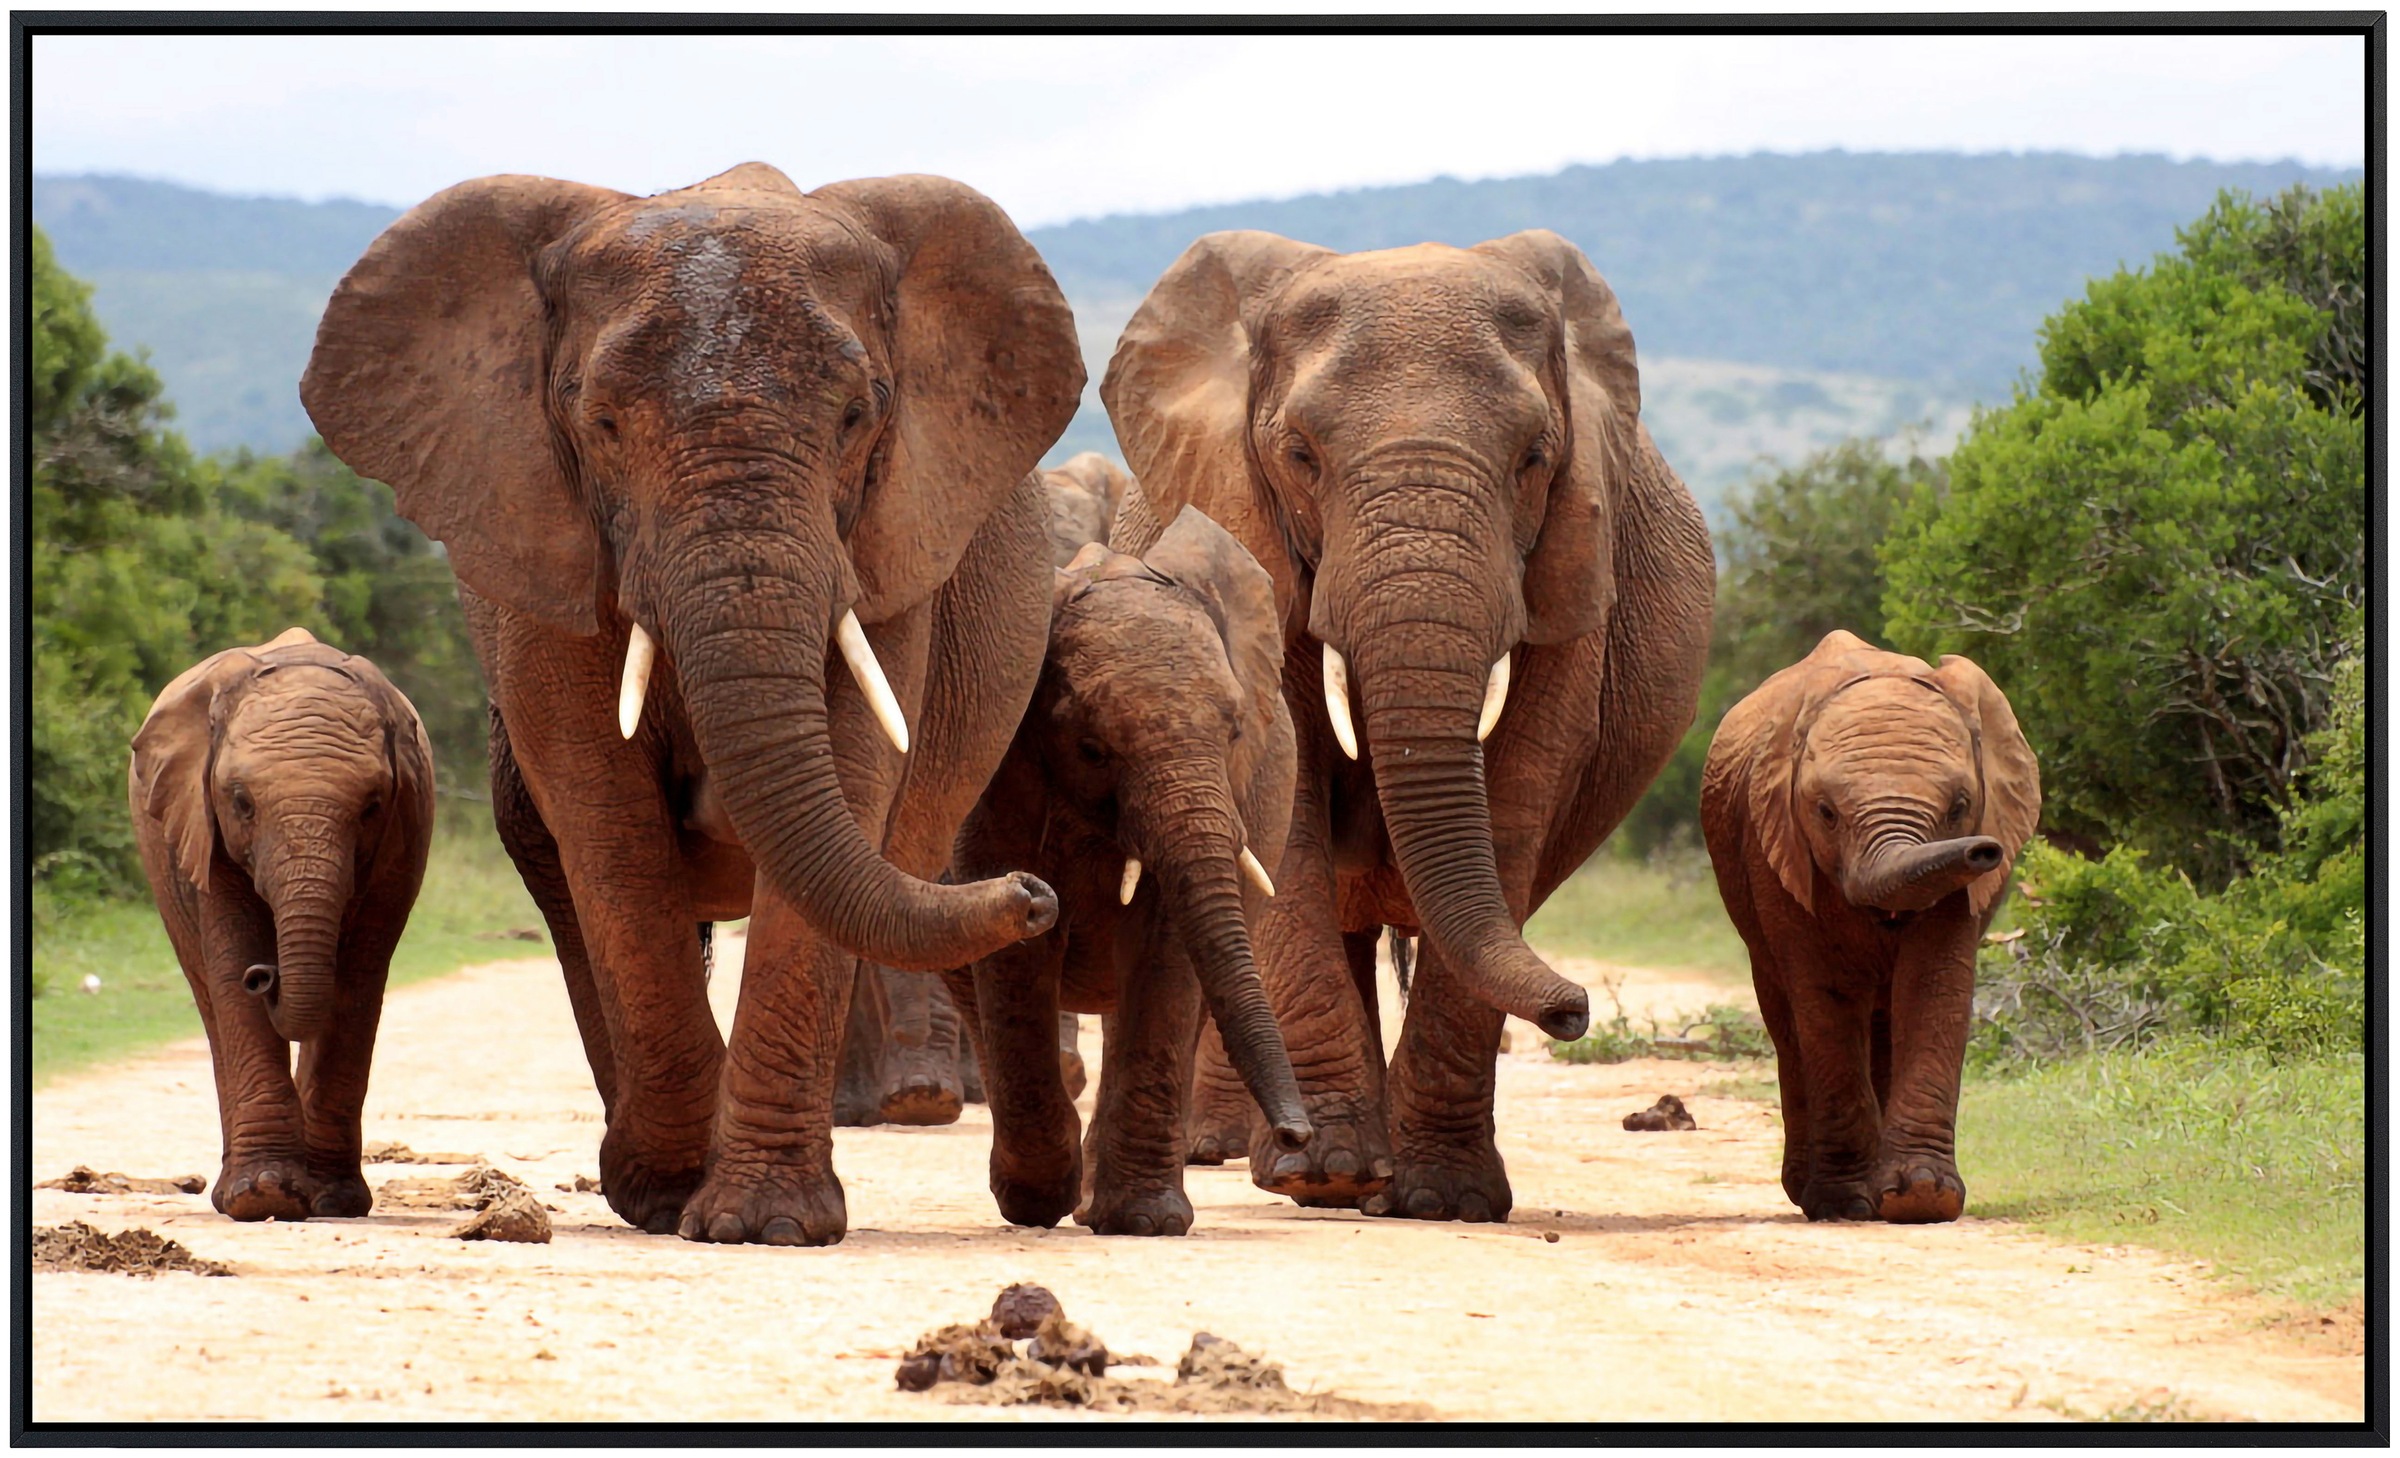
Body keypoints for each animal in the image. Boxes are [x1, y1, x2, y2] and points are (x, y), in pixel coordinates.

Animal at [126, 628, 439, 1218]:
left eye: (372, 806)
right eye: (241, 802)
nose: (265, 975)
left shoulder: (403, 833)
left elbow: (359, 978)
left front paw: (334, 1200)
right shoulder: (201, 823)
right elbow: (230, 960)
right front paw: (264, 1193)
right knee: (209, 995)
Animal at [304, 165, 1084, 1246]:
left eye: (858, 417)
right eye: (600, 424)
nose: (1035, 894)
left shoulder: (887, 548)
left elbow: (850, 781)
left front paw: (764, 1223)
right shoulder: (545, 546)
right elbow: (606, 819)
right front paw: (676, 1196)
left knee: (913, 879)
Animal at [940, 505, 1315, 1237]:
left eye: (1234, 732)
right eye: (1092, 748)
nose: (1298, 1136)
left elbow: (1166, 951)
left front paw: (1143, 1220)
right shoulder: (999, 779)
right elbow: (1018, 948)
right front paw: (1039, 1202)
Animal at [1104, 225, 1728, 1218]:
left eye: (1534, 458)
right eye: (1301, 456)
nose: (1576, 1010)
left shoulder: (1569, 575)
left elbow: (1515, 799)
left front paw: (1444, 1199)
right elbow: (1290, 815)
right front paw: (1328, 1176)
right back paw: (1298, 1163)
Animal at [1699, 628, 2035, 1218]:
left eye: (1960, 806)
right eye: (1826, 812)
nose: (1985, 851)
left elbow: (1933, 985)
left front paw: (1921, 1197)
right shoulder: (1776, 847)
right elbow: (1826, 996)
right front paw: (1845, 1203)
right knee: (1787, 1019)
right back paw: (1809, 1190)